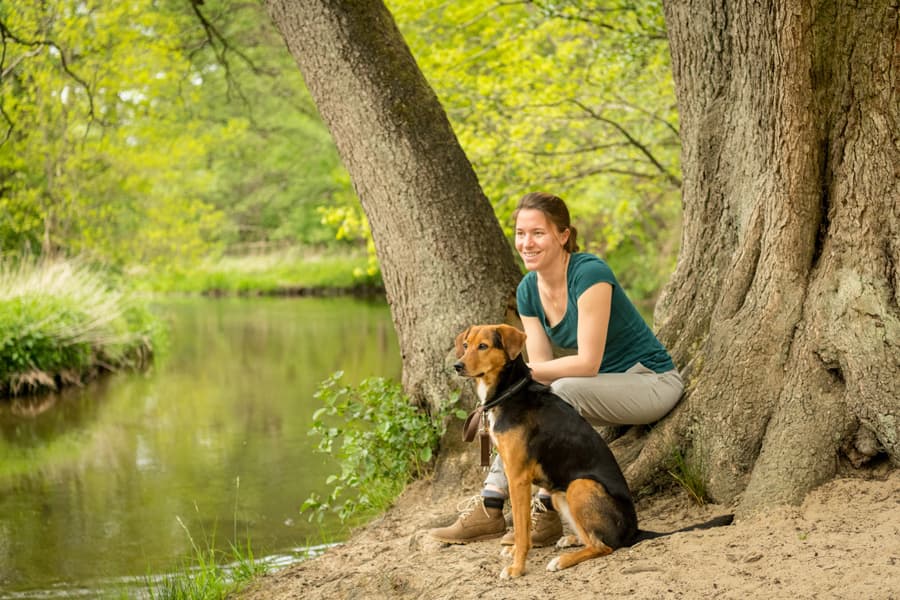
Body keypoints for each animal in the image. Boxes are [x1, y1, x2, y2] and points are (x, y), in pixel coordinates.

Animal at [454, 326, 736, 580]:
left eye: (483, 346)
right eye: (466, 345)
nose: (457, 366)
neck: (511, 391)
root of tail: (634, 530)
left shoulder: (518, 476)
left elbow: (523, 529)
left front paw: (517, 567)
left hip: (581, 485)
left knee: (604, 546)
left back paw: (562, 560)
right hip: (562, 494)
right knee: (592, 538)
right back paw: (570, 540)